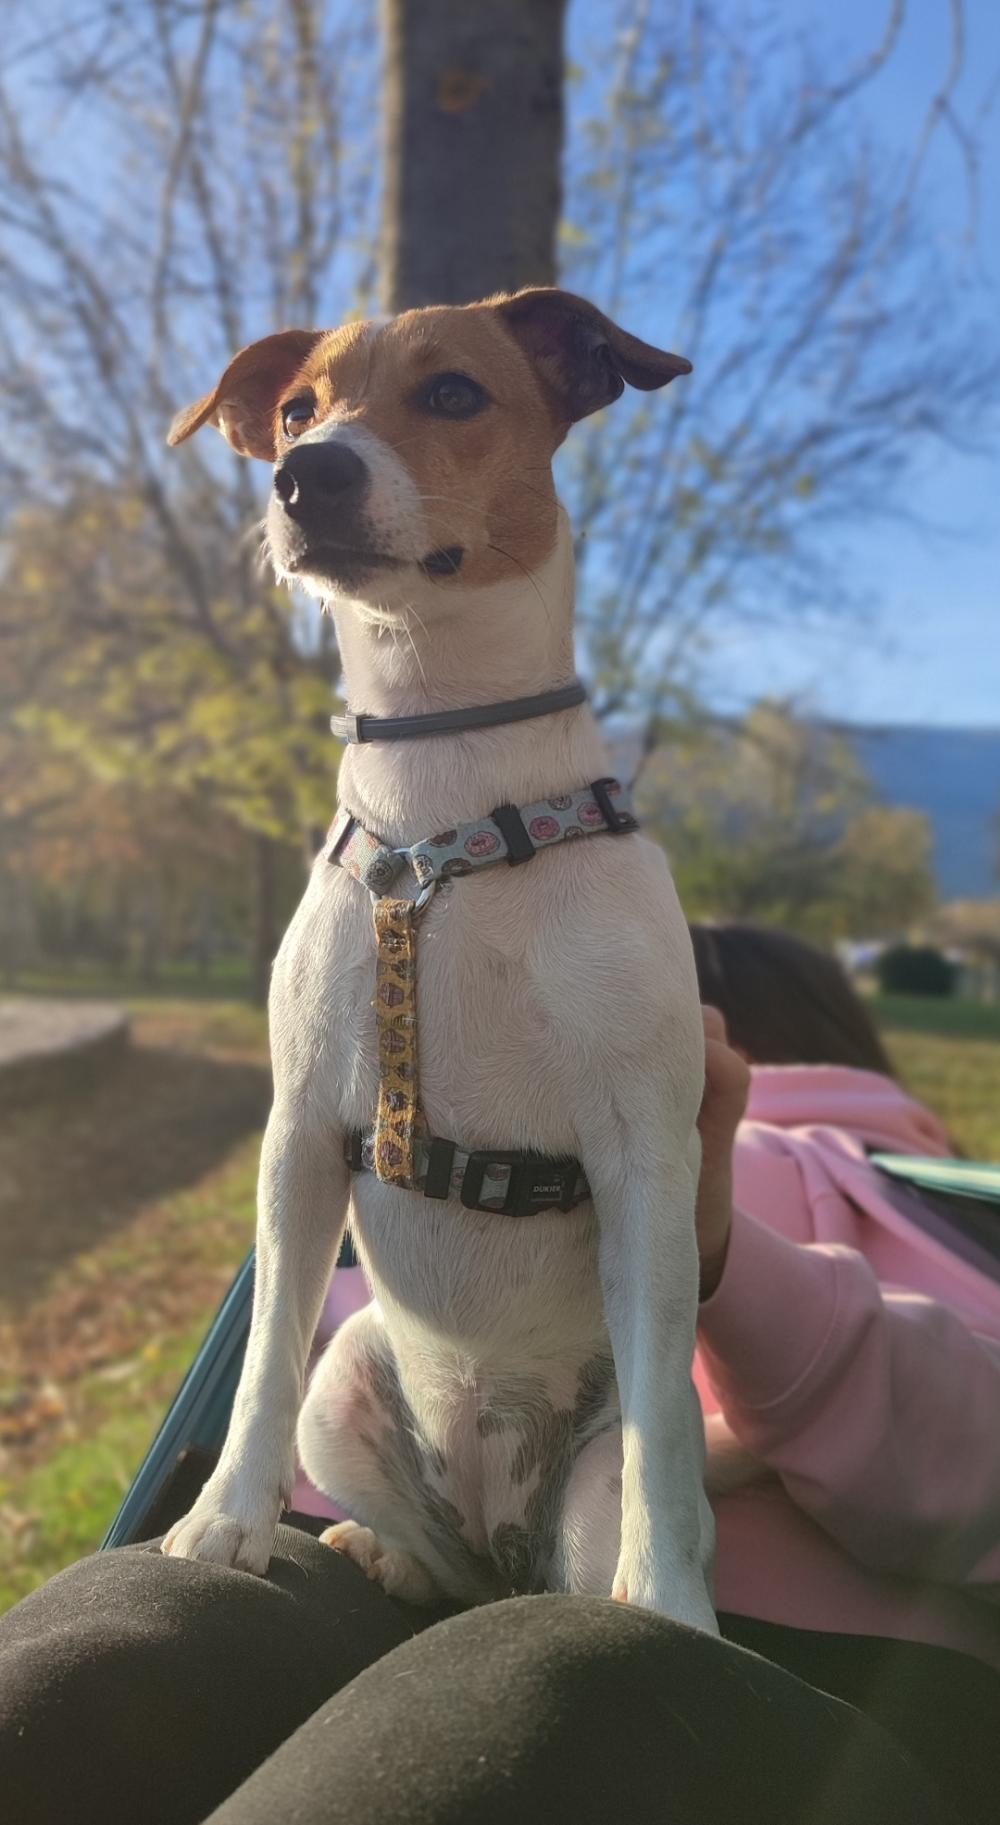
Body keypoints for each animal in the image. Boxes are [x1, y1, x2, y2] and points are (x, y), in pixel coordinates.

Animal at [162, 292, 718, 1635]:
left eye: (456, 392)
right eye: (295, 410)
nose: (307, 474)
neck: (443, 798)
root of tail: (498, 1519)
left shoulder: (645, 1156)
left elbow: (666, 1437)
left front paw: (671, 1607)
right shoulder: (300, 1132)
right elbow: (262, 1359)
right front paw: (225, 1521)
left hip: (580, 1488)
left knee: (575, 1534)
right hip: (347, 1386)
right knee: (434, 1552)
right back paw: (388, 1552)